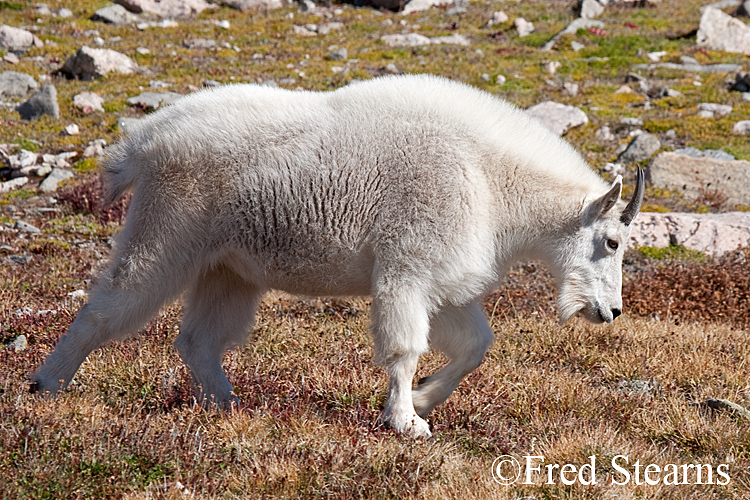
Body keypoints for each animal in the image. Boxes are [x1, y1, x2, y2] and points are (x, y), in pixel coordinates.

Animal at [32, 74, 648, 438]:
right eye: (612, 242)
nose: (611, 312)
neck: (491, 178)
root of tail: (145, 142)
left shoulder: (443, 280)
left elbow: (476, 345)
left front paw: (423, 401)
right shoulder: (407, 267)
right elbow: (404, 347)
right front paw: (406, 422)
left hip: (228, 268)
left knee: (199, 341)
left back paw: (229, 407)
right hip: (166, 233)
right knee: (106, 307)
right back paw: (46, 387)